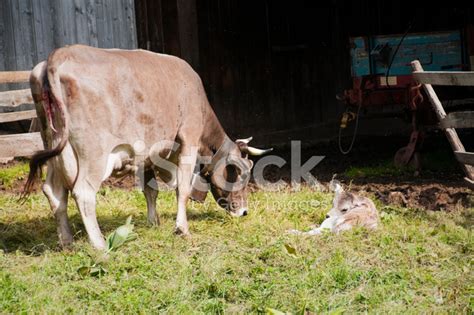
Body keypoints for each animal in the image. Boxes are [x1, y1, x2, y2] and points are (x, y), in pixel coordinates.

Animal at [25, 45, 270, 252]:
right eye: (242, 173)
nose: (244, 211)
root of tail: (60, 54)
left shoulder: (148, 154)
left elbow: (151, 190)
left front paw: (154, 222)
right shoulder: (188, 139)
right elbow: (182, 189)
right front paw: (182, 229)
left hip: (55, 148)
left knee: (54, 192)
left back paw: (67, 242)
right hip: (94, 155)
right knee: (83, 192)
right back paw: (100, 245)